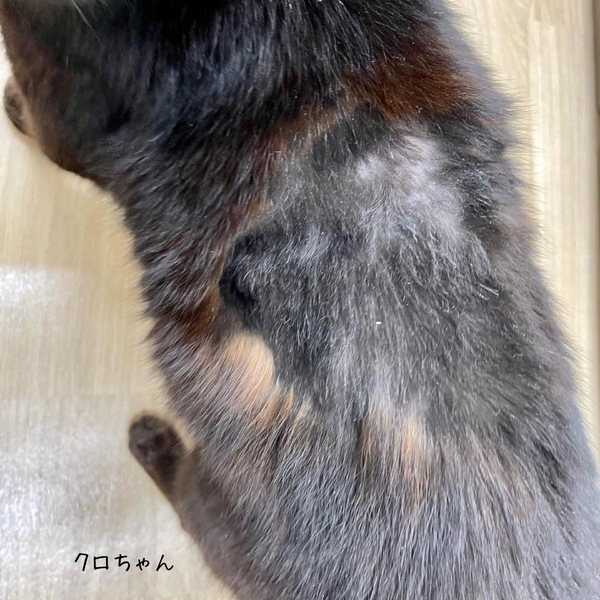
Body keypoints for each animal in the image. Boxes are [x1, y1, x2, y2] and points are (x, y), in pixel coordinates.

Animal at [2, 0, 599, 598]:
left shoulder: (61, 100)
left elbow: (45, 125)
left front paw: (11, 107)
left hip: (231, 515)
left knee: (191, 505)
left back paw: (151, 443)